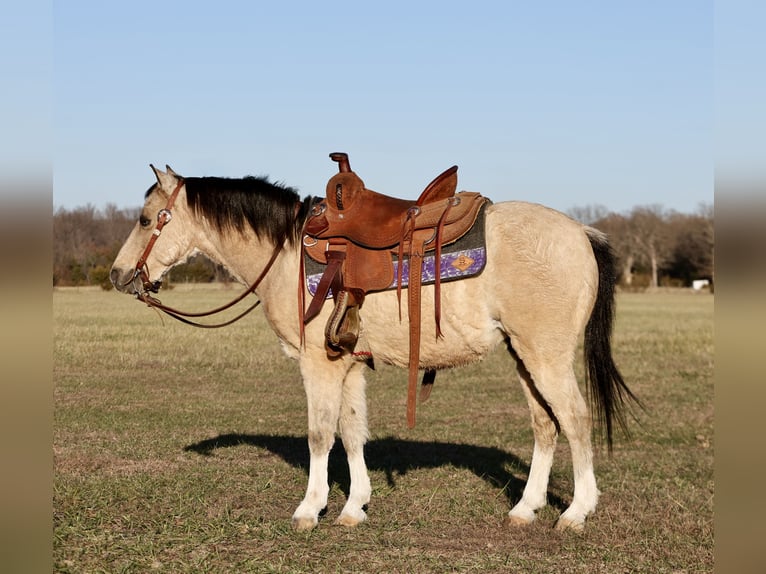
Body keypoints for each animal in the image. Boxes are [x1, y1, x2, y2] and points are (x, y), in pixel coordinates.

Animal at [108, 155, 636, 532]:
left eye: (145, 219)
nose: (117, 275)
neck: (287, 254)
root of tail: (582, 232)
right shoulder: (348, 363)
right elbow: (351, 432)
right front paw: (354, 507)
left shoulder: (318, 364)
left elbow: (320, 434)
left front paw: (309, 509)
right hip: (524, 356)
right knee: (545, 426)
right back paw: (525, 510)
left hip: (546, 356)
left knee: (575, 420)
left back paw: (576, 513)